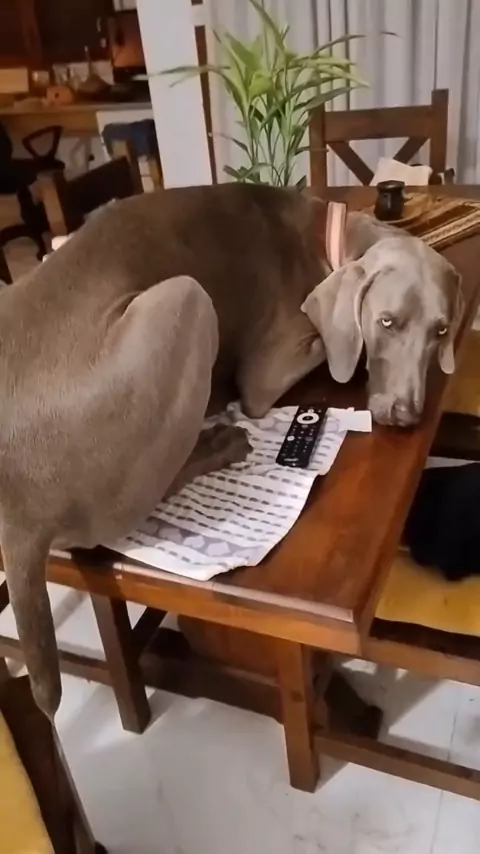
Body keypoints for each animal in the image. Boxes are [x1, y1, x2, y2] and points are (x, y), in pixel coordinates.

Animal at [0, 183, 463, 718]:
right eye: (387, 322)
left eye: (442, 331)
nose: (407, 415)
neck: (325, 237)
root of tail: (18, 512)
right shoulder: (268, 369)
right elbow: (325, 350)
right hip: (187, 298)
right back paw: (218, 442)